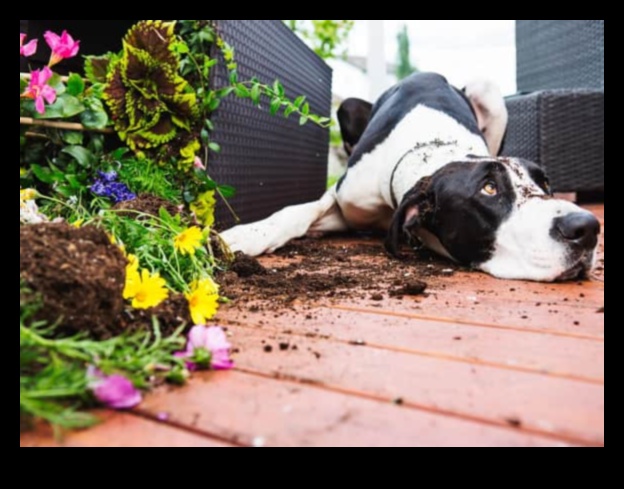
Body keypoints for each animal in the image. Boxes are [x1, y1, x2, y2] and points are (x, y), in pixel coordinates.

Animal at [222, 70, 604, 280]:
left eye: (545, 183)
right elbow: (298, 211)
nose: (586, 227)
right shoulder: (346, 200)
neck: (432, 151)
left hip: (488, 91)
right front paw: (245, 235)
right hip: (347, 107)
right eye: (489, 189)